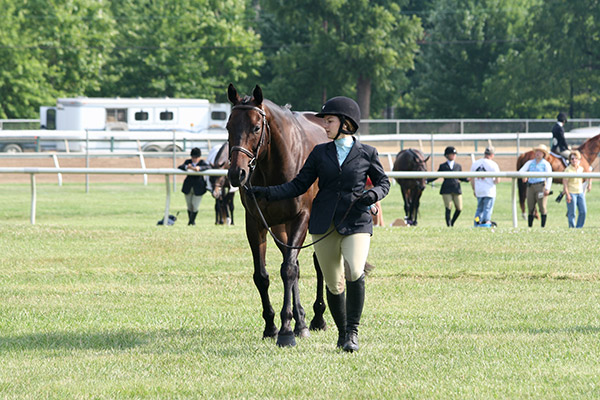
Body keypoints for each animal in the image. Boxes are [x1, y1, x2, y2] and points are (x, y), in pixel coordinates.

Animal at [225, 84, 328, 346]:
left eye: (256, 127)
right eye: (228, 126)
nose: (237, 173)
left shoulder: (301, 218)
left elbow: (288, 270)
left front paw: (286, 330)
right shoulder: (255, 223)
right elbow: (263, 275)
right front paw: (272, 326)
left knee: (317, 263)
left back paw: (317, 318)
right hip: (280, 227)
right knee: (295, 263)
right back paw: (301, 320)